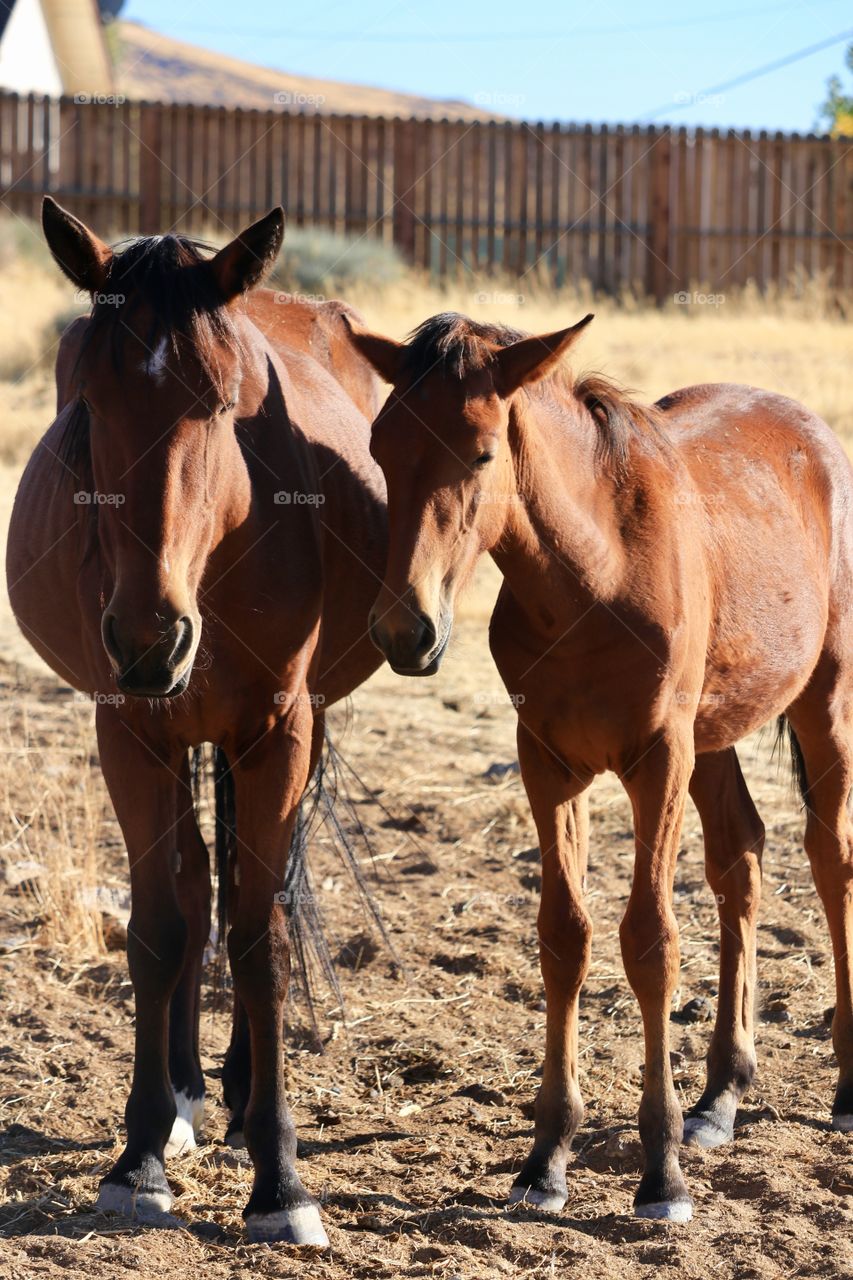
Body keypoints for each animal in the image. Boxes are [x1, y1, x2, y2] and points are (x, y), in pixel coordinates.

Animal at [5, 197, 384, 1239]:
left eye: (220, 404)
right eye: (88, 405)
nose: (149, 639)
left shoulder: (278, 730)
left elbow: (264, 939)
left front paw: (280, 1178)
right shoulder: (130, 731)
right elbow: (162, 927)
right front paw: (139, 1154)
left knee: (255, 895)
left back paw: (245, 1087)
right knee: (193, 883)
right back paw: (184, 1093)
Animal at [343, 307, 850, 1218]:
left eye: (481, 453)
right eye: (380, 445)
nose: (406, 631)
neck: (594, 572)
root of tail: (813, 432)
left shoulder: (656, 761)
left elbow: (649, 941)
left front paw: (660, 1172)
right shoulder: (547, 762)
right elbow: (563, 937)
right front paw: (545, 1157)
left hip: (818, 702)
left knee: (829, 860)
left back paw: (845, 1087)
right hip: (712, 739)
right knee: (741, 861)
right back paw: (720, 1095)